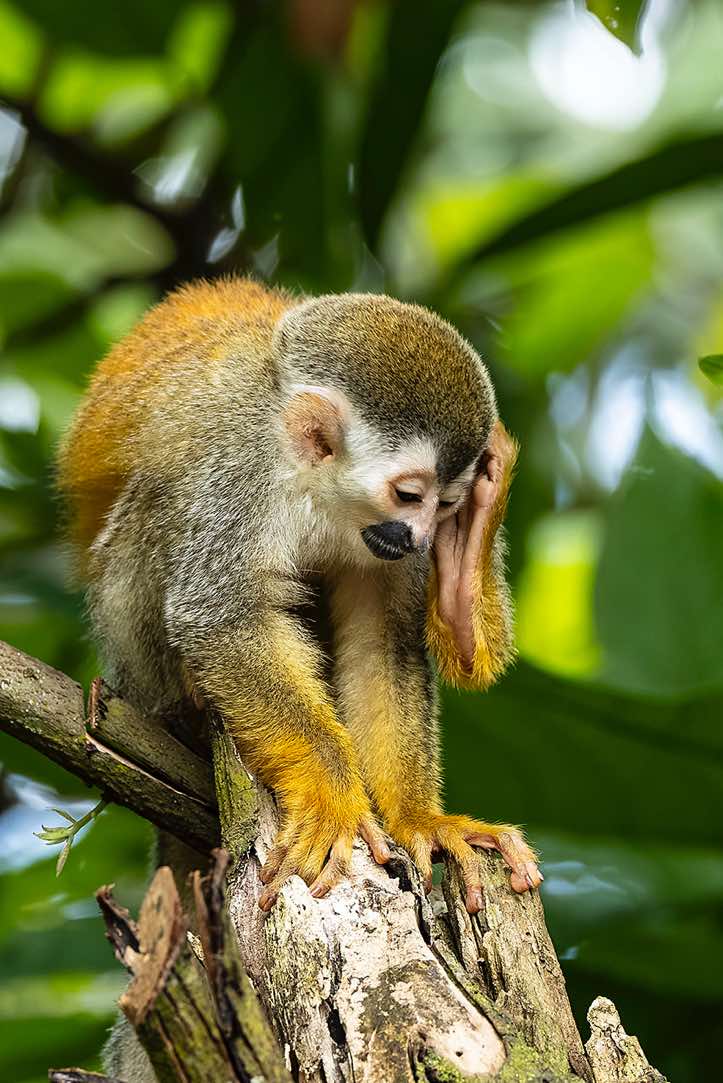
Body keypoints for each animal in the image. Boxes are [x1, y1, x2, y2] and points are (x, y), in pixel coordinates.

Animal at [57, 277, 541, 919]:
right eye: (409, 495)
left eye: (445, 506)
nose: (421, 539)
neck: (320, 492)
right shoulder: (241, 473)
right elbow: (222, 618)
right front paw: (334, 799)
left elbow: (383, 645)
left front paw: (421, 819)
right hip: (134, 674)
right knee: (154, 505)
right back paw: (187, 706)